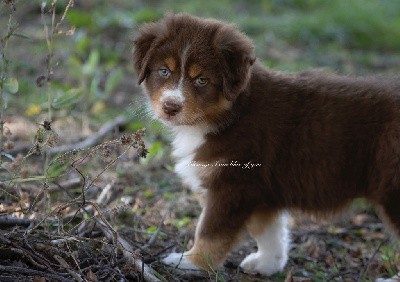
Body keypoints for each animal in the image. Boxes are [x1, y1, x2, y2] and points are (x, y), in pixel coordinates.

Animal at [134, 13, 400, 276]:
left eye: (201, 80)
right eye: (164, 71)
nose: (170, 106)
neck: (232, 112)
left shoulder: (234, 185)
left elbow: (210, 230)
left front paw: (190, 262)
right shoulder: (261, 189)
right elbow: (268, 230)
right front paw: (268, 263)